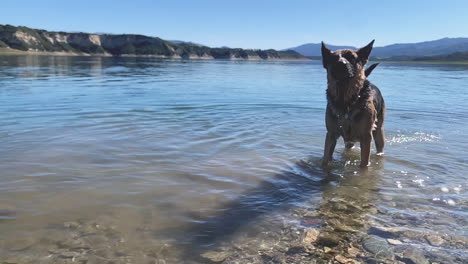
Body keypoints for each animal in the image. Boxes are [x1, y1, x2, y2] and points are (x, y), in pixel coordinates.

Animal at [320, 40, 386, 168]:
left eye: (351, 57)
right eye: (333, 58)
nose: (341, 63)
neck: (345, 100)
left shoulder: (366, 137)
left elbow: (364, 164)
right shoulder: (331, 135)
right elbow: (326, 159)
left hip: (378, 131)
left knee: (380, 145)